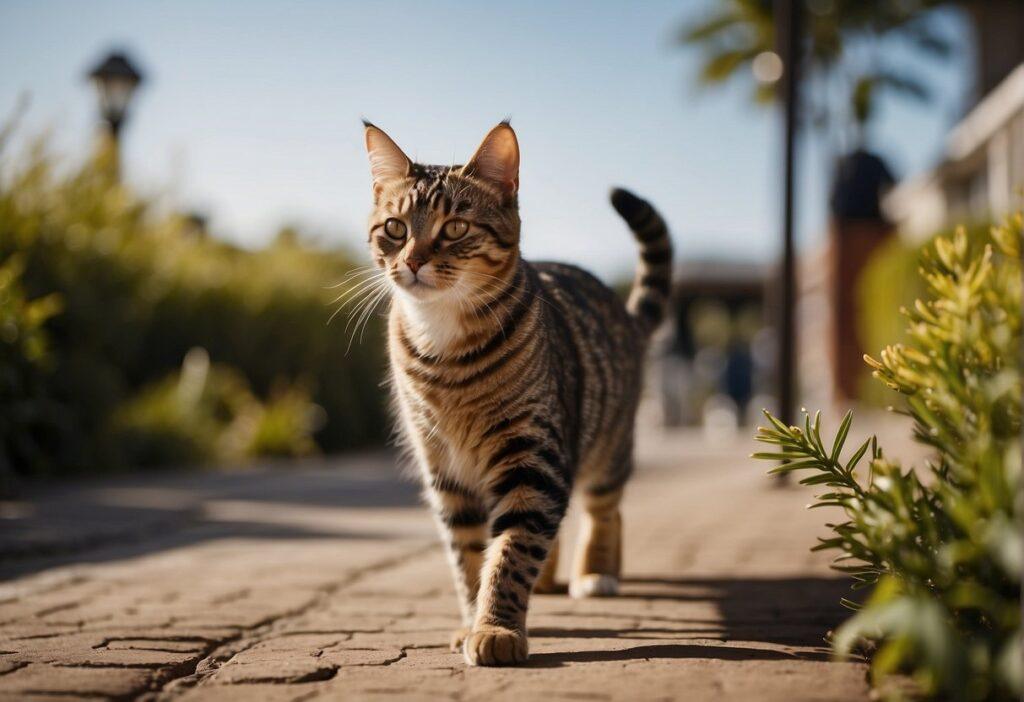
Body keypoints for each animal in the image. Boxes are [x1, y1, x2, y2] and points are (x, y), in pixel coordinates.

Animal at [360, 123, 671, 667]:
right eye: (395, 228)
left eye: (455, 228)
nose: (413, 260)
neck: (444, 347)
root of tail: (624, 311)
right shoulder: (445, 472)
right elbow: (469, 555)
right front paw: (472, 620)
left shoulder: (532, 456)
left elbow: (512, 550)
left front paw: (496, 628)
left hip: (604, 447)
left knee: (604, 509)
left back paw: (597, 572)